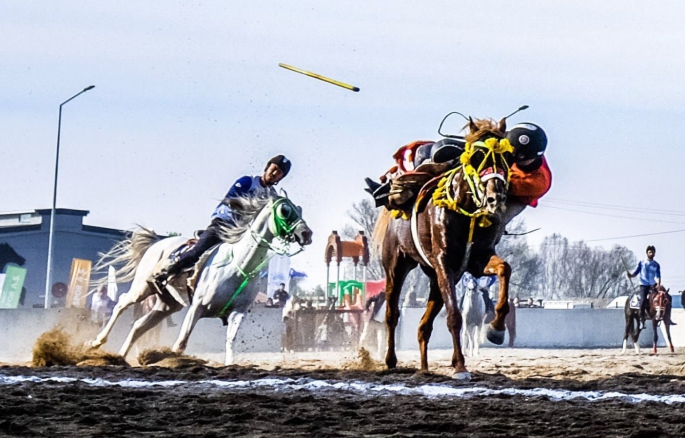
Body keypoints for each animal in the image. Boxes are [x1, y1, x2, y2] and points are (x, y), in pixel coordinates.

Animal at [89, 192, 312, 362]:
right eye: (285, 210)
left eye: (299, 209)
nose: (306, 234)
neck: (239, 266)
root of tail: (156, 243)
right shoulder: (197, 306)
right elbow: (180, 344)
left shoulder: (238, 312)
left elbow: (230, 343)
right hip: (142, 288)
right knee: (121, 304)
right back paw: (95, 342)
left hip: (168, 304)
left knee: (138, 326)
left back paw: (120, 357)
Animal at [374, 117, 512, 380]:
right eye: (477, 156)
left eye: (506, 158)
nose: (496, 199)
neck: (465, 211)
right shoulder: (443, 261)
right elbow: (454, 316)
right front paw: (460, 366)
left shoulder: (476, 260)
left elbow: (504, 269)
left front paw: (497, 329)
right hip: (396, 265)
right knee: (392, 314)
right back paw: (390, 359)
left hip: (435, 278)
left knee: (423, 326)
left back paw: (424, 368)